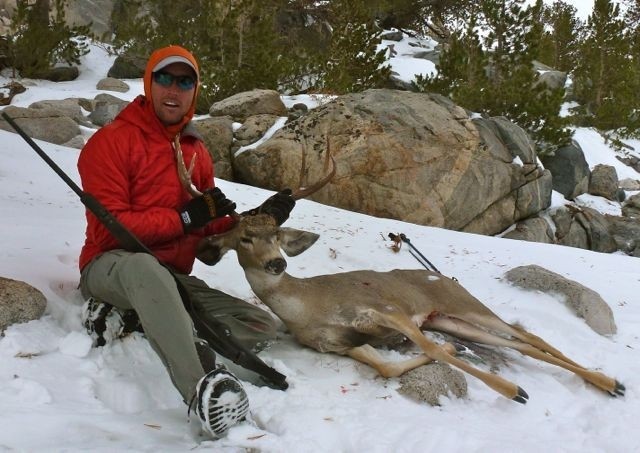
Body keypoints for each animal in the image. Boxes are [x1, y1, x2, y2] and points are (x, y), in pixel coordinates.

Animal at [174, 135, 625, 404]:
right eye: (244, 240)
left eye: (278, 234)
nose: (277, 262)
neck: (310, 306)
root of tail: (443, 278)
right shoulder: (339, 344)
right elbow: (386, 365)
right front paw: (455, 354)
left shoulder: (388, 311)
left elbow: (426, 348)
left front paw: (512, 389)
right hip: (452, 319)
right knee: (521, 343)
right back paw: (607, 381)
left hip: (463, 303)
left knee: (527, 335)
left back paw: (611, 381)